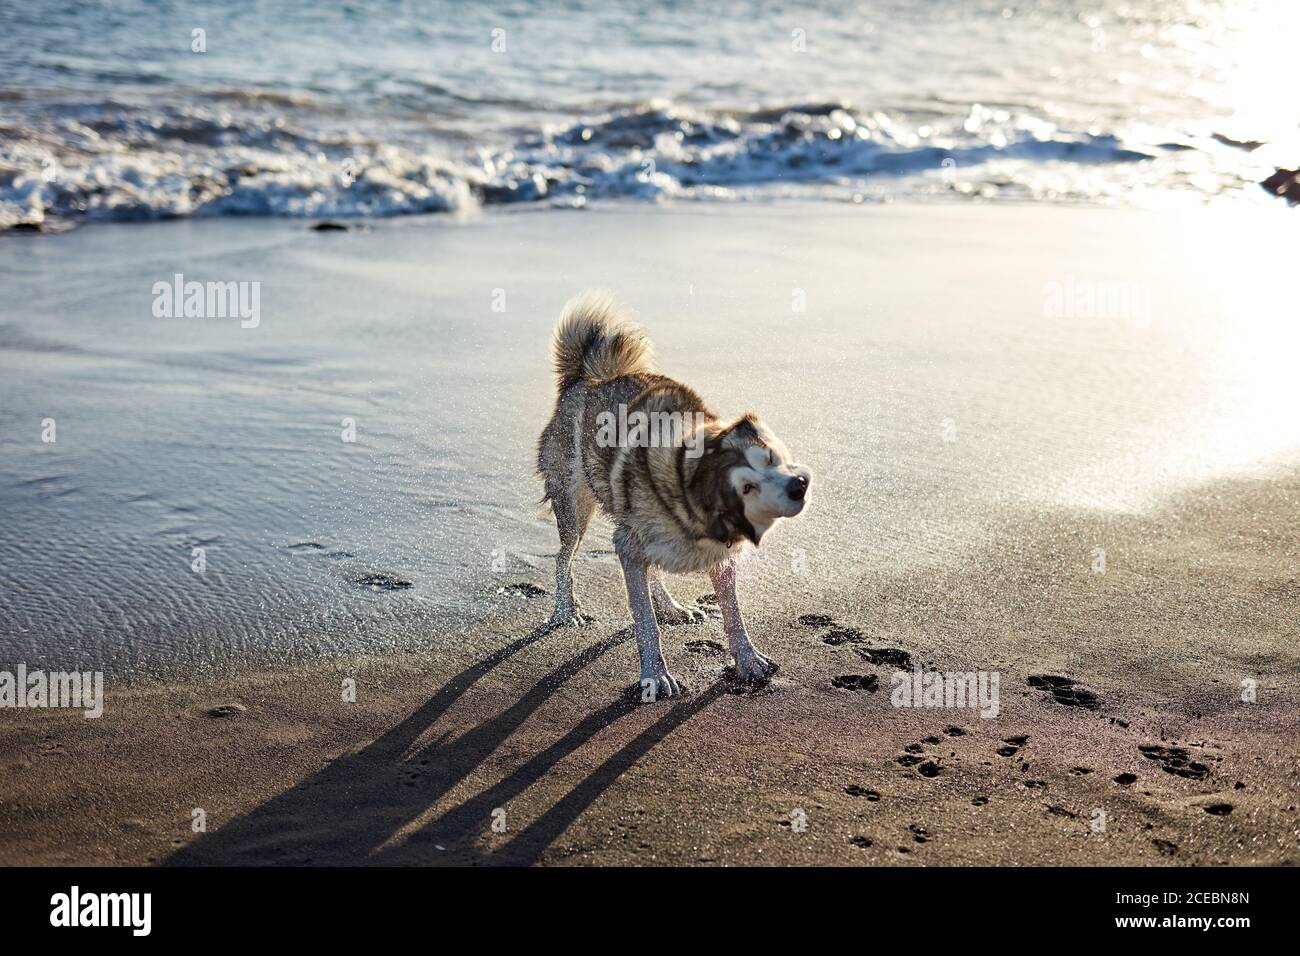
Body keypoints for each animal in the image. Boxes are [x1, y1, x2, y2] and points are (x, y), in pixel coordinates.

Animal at [538, 287, 811, 697]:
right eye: (747, 482)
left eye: (774, 459)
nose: (800, 484)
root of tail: (585, 381)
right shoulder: (628, 543)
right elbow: (644, 622)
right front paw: (655, 675)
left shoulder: (720, 557)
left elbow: (733, 614)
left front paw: (747, 660)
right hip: (574, 507)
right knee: (563, 557)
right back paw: (565, 611)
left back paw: (671, 607)